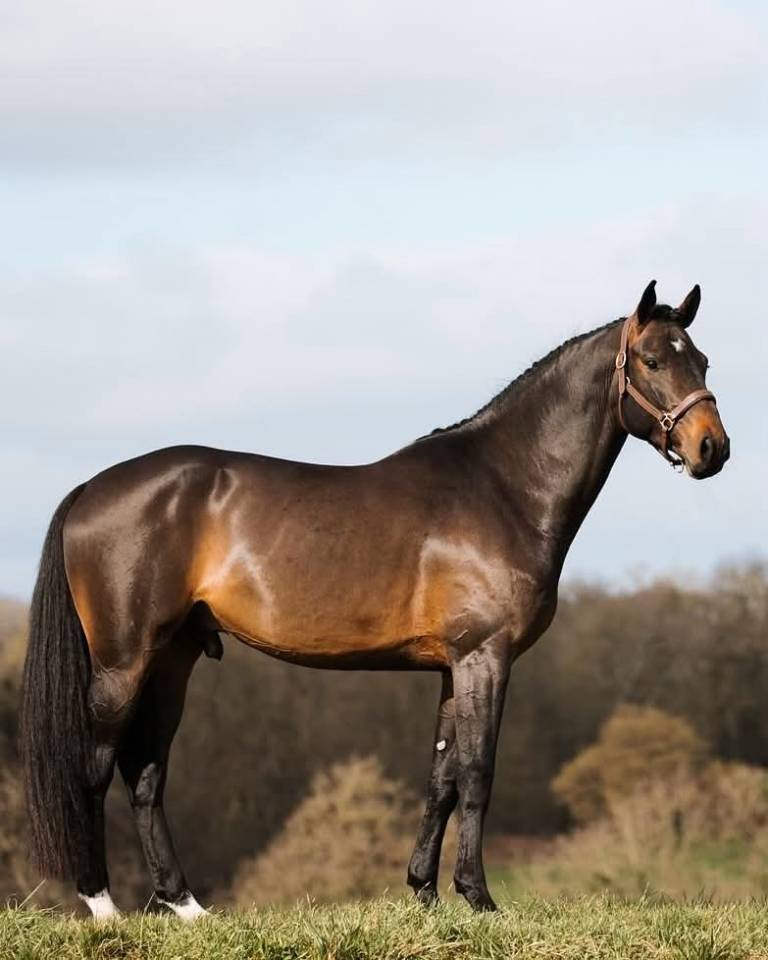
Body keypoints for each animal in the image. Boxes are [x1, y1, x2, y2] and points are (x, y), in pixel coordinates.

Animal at [20, 280, 729, 919]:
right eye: (653, 360)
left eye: (702, 360)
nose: (711, 449)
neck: (503, 487)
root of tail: (90, 489)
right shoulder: (486, 657)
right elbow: (478, 773)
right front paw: (479, 897)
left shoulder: (452, 666)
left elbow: (441, 779)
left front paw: (425, 893)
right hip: (123, 662)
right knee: (93, 768)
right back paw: (102, 905)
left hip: (174, 658)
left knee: (145, 773)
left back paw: (187, 906)